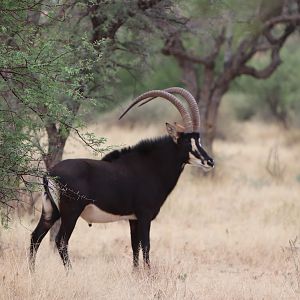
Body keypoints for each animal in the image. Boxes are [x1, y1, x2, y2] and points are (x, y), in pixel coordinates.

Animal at [29, 87, 213, 272]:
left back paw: (32, 272)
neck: (152, 165)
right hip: (71, 212)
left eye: (199, 139)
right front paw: (148, 274)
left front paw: (135, 273)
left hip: (50, 211)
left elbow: (135, 246)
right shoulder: (144, 215)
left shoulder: (133, 219)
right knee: (61, 240)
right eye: (187, 143)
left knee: (35, 236)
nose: (210, 161)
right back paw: (70, 273)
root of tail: (50, 173)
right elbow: (146, 246)